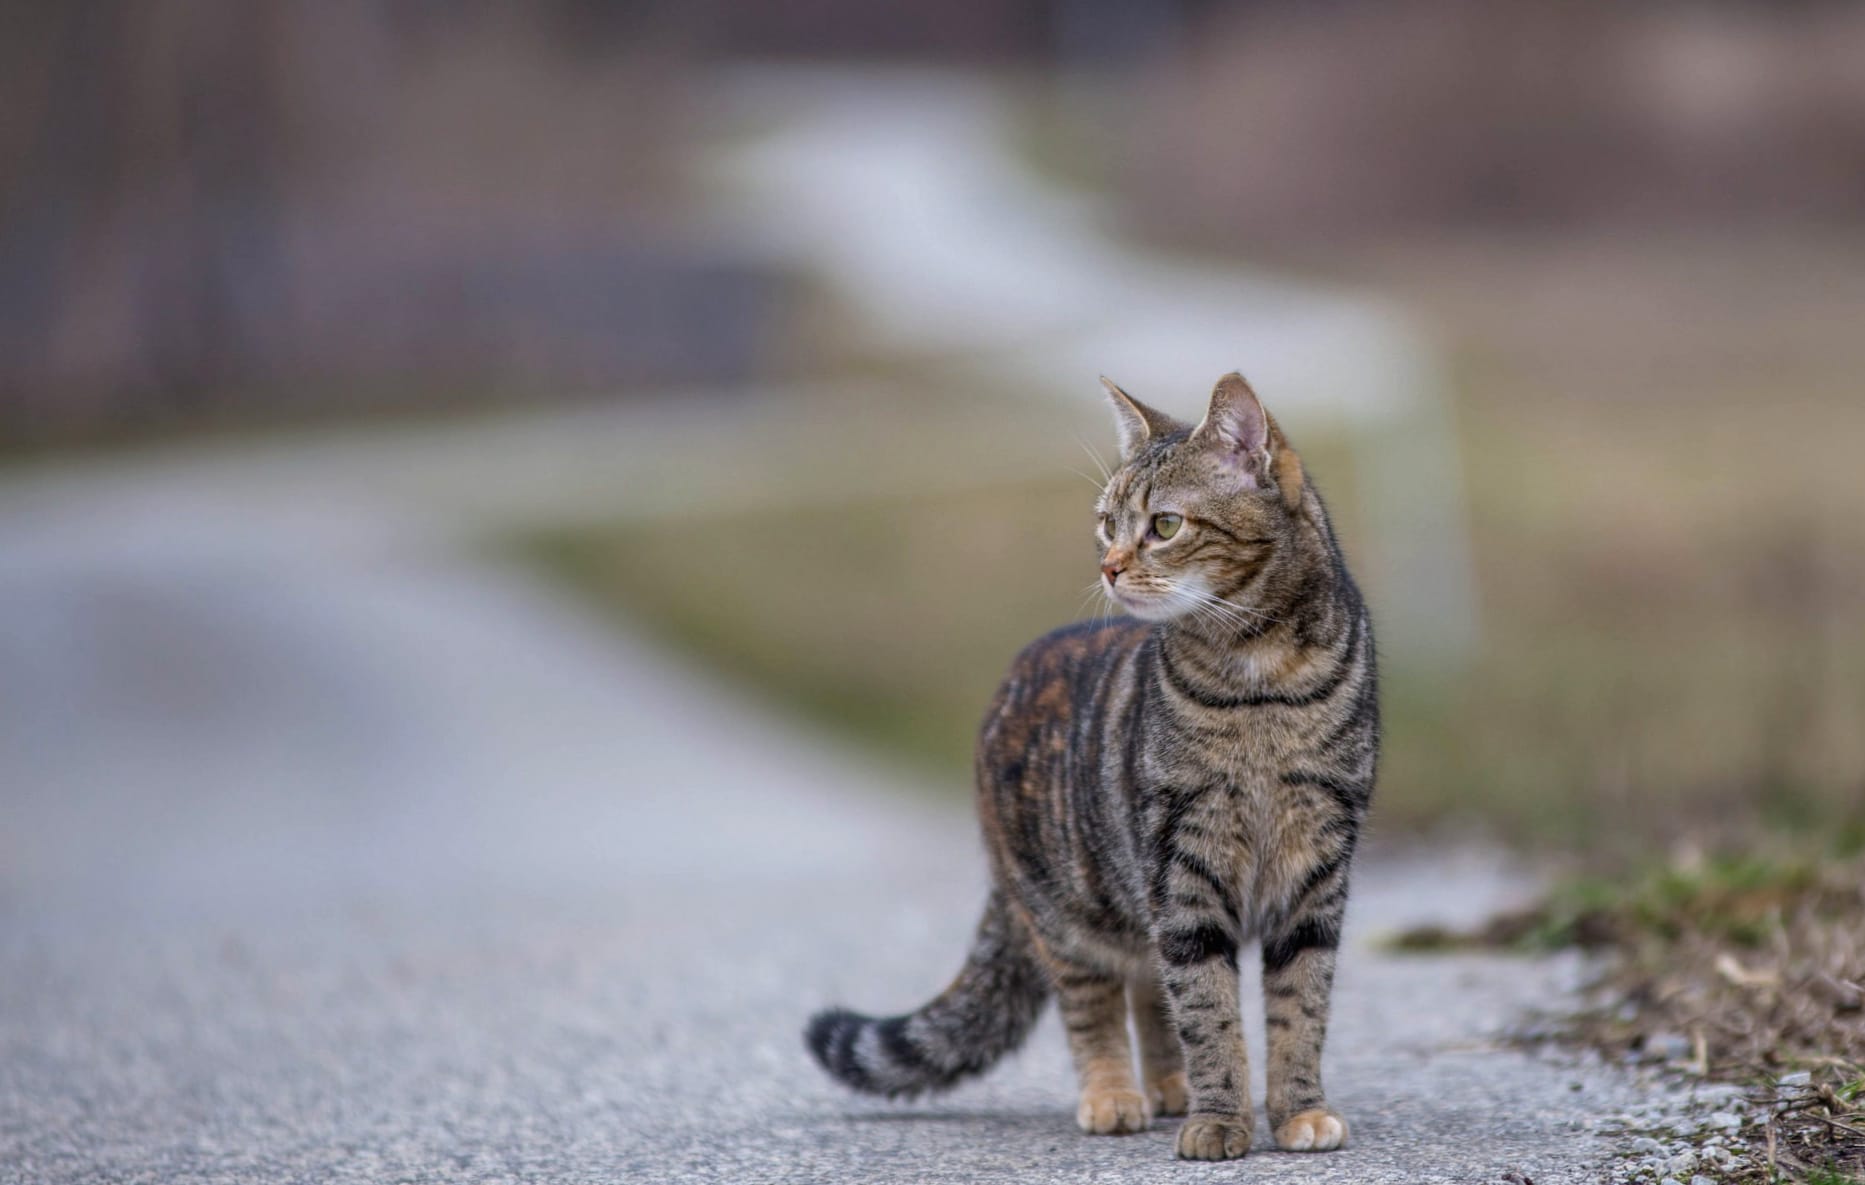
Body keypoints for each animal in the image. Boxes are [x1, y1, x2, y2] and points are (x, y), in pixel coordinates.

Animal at [809, 375, 1380, 1164]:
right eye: (1108, 524)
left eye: (1164, 525)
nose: (1108, 567)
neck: (1257, 679)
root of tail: (1016, 670)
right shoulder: (1182, 865)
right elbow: (1207, 1008)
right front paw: (1220, 1119)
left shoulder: (1316, 867)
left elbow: (1300, 1004)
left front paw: (1298, 1109)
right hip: (1068, 908)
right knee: (1097, 1004)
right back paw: (1114, 1095)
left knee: (1146, 983)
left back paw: (1167, 1086)